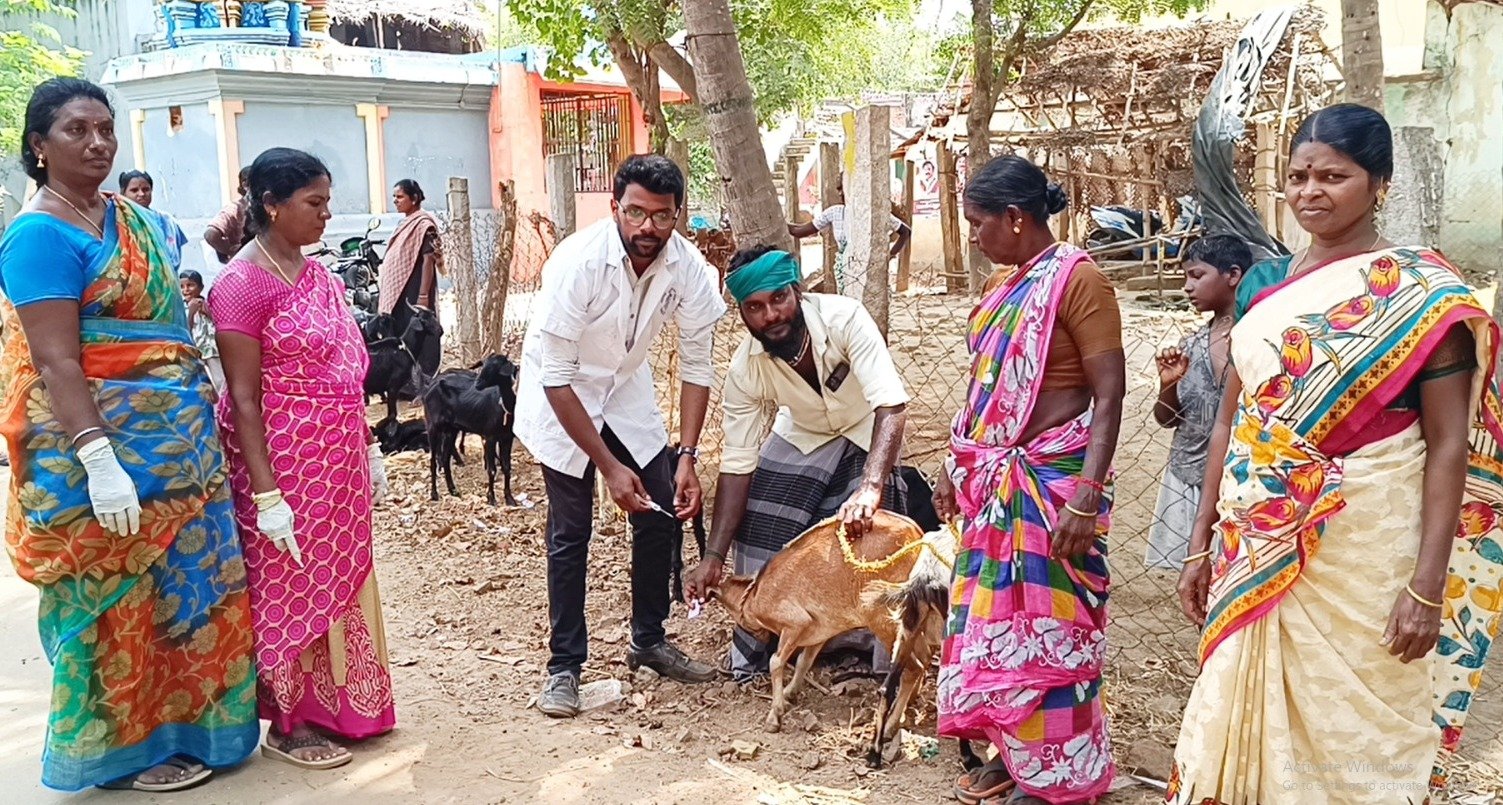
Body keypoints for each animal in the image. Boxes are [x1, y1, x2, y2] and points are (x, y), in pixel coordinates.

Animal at [423, 355, 517, 507]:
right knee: (433, 460)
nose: (477, 384)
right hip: (432, 426)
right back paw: (434, 494)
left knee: (445, 459)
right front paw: (491, 498)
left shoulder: (507, 438)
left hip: (451, 429)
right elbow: (492, 470)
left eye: (494, 368)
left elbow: (507, 468)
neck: (503, 407)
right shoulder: (489, 437)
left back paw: (453, 490)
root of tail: (430, 386)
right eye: (483, 366)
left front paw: (510, 498)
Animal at [706, 516, 925, 735]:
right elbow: (804, 660)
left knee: (913, 668)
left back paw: (891, 724)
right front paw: (789, 693)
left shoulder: (795, 623)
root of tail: (917, 536)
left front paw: (775, 715)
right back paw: (908, 703)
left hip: (884, 621)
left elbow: (776, 662)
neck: (755, 593)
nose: (762, 637)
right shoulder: (819, 630)